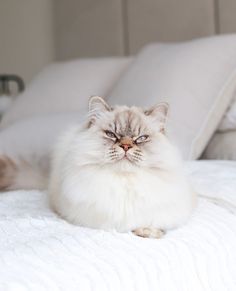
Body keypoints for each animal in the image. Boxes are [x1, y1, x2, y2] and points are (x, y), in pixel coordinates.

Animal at [47, 97, 195, 238]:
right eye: (111, 135)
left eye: (141, 138)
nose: (126, 146)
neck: (125, 180)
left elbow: (152, 223)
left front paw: (148, 232)